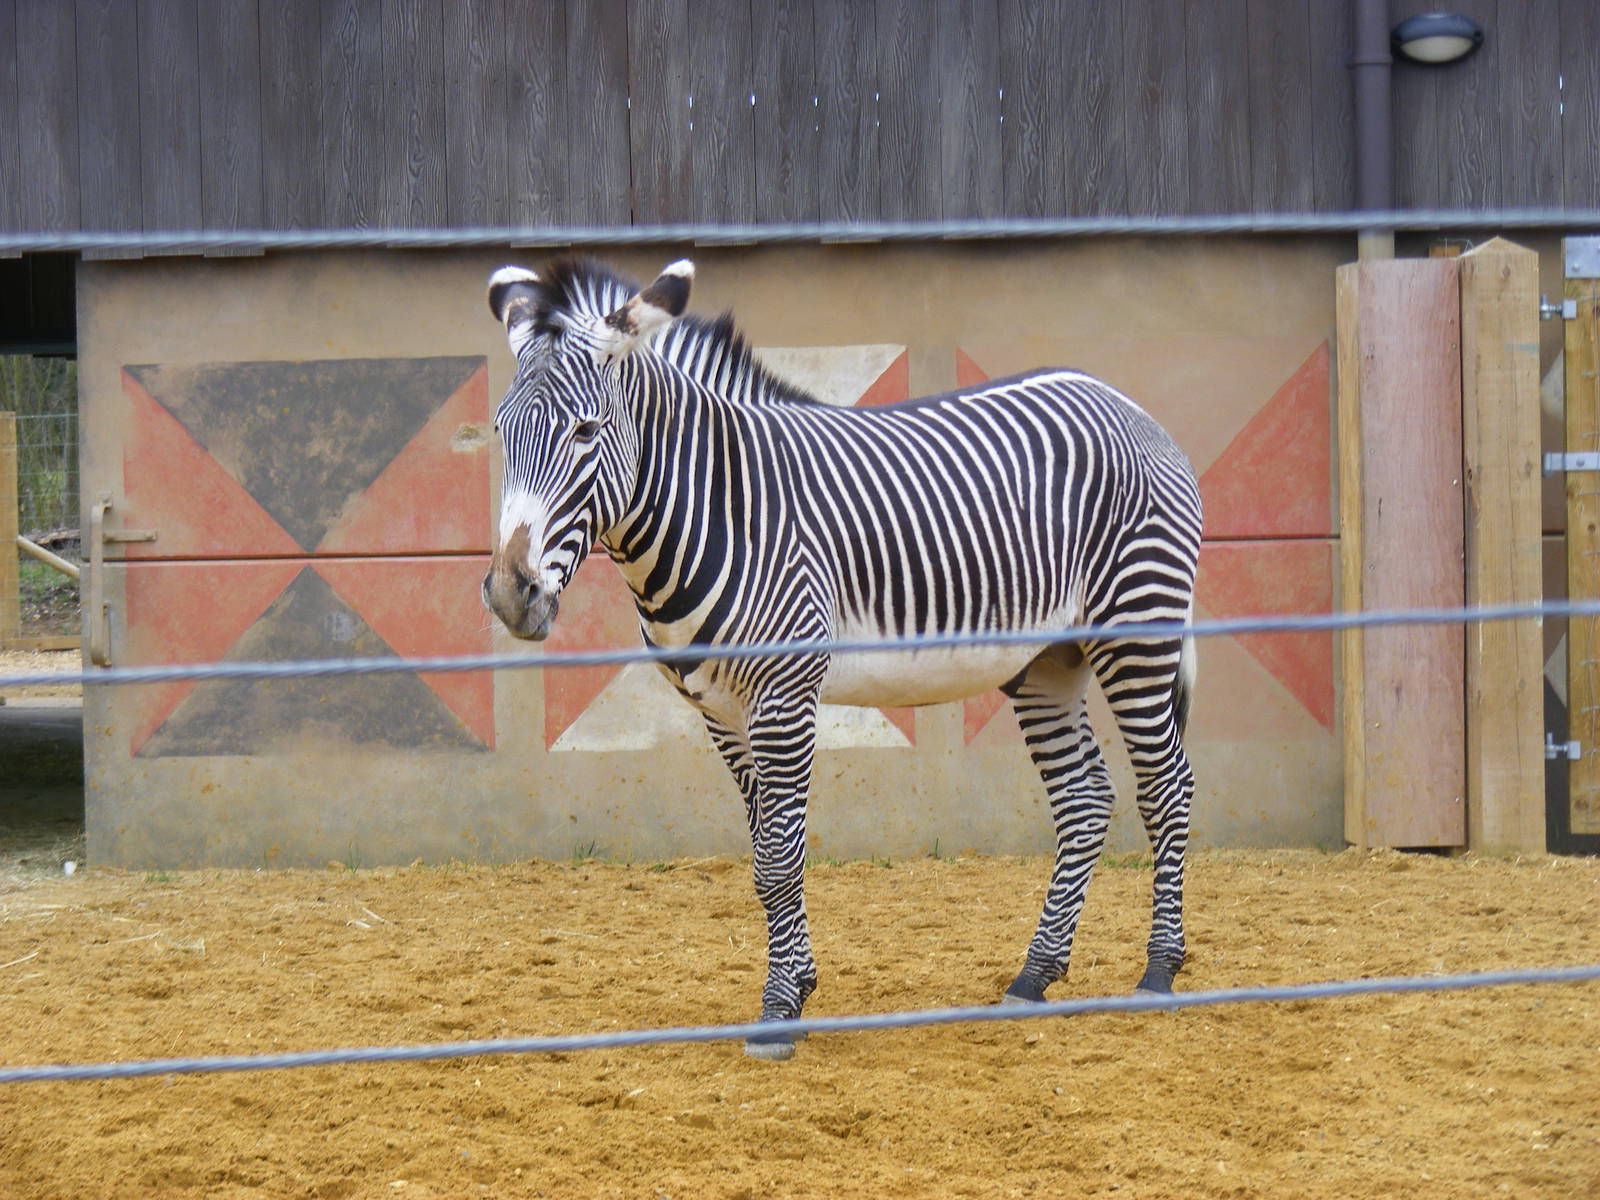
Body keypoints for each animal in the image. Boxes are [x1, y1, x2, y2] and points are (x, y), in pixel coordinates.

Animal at [481, 257, 1202, 1059]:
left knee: (1167, 787)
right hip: (1050, 660)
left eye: (586, 431)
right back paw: (1035, 975)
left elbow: (780, 858)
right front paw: (797, 987)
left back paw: (1159, 973)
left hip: (1138, 627)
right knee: (1085, 798)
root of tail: (1119, 399)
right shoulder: (722, 712)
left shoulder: (785, 696)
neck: (720, 509)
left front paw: (776, 1014)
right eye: (502, 434)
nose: (511, 596)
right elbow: (766, 853)